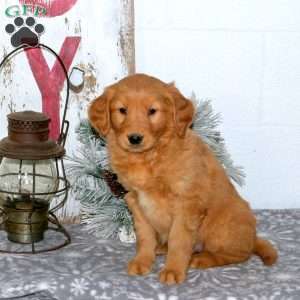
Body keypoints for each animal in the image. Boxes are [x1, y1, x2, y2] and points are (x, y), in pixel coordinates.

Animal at [88, 74, 278, 284]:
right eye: (122, 110)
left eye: (152, 111)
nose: (135, 138)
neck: (149, 157)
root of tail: (252, 237)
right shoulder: (135, 200)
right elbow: (145, 236)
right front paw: (142, 260)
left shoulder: (187, 203)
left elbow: (179, 240)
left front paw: (173, 270)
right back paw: (162, 248)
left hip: (223, 226)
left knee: (238, 254)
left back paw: (201, 258)